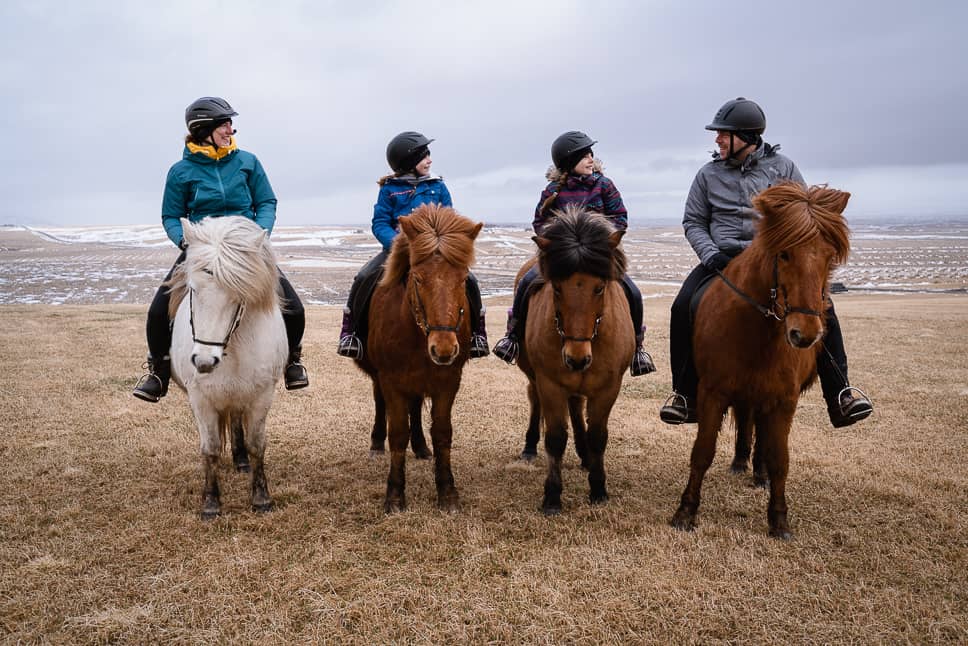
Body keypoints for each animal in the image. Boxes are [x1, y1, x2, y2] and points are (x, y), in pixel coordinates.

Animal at [168, 218, 288, 520]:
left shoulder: (262, 394)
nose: (204, 362)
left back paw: (240, 460)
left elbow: (257, 444)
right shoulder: (200, 398)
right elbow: (209, 447)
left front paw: (261, 498)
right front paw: (211, 502)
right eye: (192, 290)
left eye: (238, 297)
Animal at [354, 205, 482, 512]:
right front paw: (395, 495)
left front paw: (447, 493)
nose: (444, 349)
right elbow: (398, 432)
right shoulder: (391, 379)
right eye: (418, 278)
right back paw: (376, 443)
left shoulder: (448, 381)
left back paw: (421, 447)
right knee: (380, 403)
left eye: (462, 279)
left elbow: (443, 432)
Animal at [516, 208, 636, 516]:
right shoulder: (550, 383)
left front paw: (598, 489)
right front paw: (552, 497)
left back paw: (584, 454)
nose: (576, 358)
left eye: (599, 287)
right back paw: (530, 447)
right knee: (536, 400)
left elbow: (598, 436)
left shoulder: (608, 387)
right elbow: (556, 438)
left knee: (576, 406)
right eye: (557, 288)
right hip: (535, 376)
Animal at [668, 184, 852, 540]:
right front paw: (685, 512)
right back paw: (742, 463)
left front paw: (779, 520)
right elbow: (702, 452)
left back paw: (758, 473)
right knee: (747, 422)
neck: (756, 332)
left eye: (828, 257)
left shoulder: (784, 400)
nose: (805, 334)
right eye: (784, 254)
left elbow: (780, 458)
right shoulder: (713, 393)